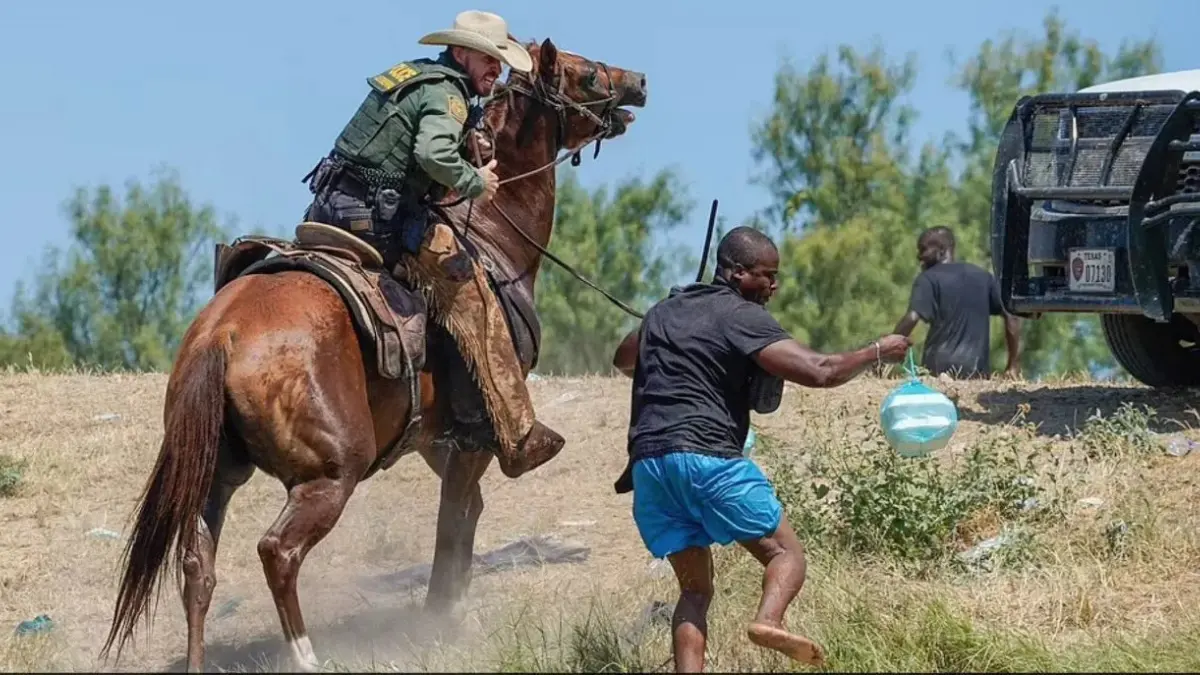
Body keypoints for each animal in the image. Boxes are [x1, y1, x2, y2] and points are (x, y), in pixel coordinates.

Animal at [99, 37, 648, 673]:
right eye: (586, 74)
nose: (638, 83)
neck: (490, 237)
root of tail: (223, 335)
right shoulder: (475, 436)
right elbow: (454, 520)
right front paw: (441, 617)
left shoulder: (437, 439)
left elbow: (466, 511)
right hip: (331, 474)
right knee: (278, 551)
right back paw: (307, 654)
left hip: (216, 473)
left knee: (197, 566)